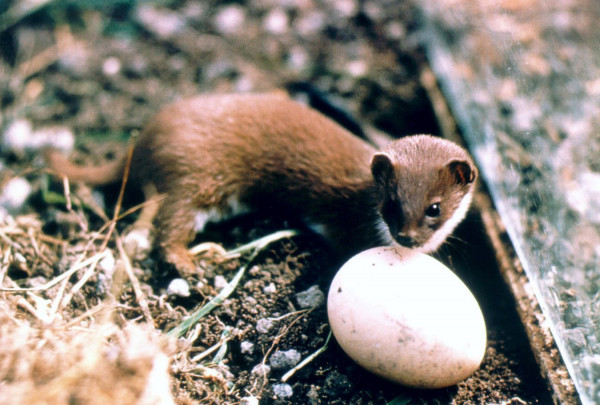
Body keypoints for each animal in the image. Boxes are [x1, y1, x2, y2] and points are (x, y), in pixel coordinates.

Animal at [45, 94, 478, 278]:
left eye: (435, 207)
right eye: (390, 203)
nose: (406, 238)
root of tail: (144, 138)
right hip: (198, 177)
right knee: (169, 224)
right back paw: (189, 263)